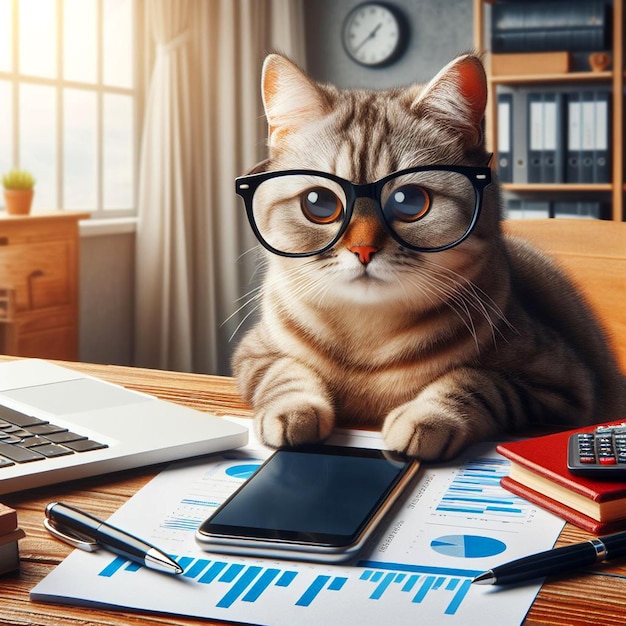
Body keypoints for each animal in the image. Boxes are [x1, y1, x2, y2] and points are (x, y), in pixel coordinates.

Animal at [230, 52, 624, 458]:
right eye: (318, 202)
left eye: (410, 201)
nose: (363, 249)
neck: (367, 337)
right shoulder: (253, 353)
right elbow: (285, 372)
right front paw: (293, 410)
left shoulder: (564, 386)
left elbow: (477, 380)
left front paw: (428, 417)